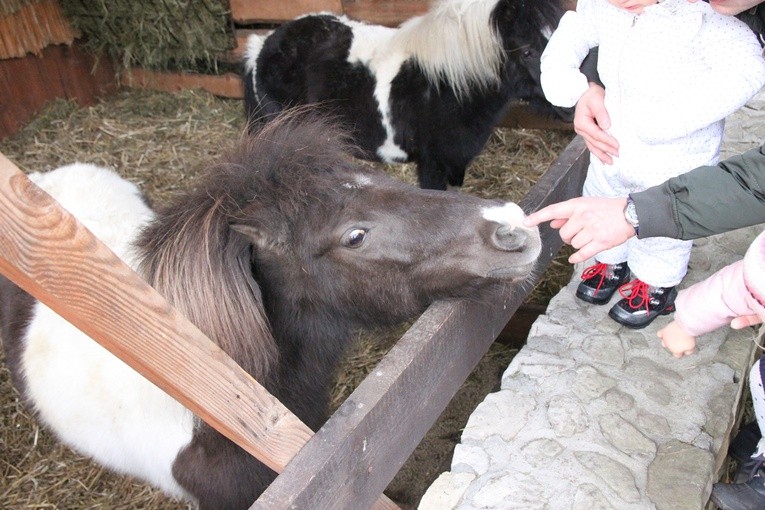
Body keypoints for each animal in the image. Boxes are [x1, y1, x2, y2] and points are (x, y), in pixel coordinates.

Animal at [242, 0, 572, 190]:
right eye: (527, 51)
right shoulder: (432, 166)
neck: (447, 84)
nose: (571, 108)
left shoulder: (457, 164)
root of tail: (262, 45)